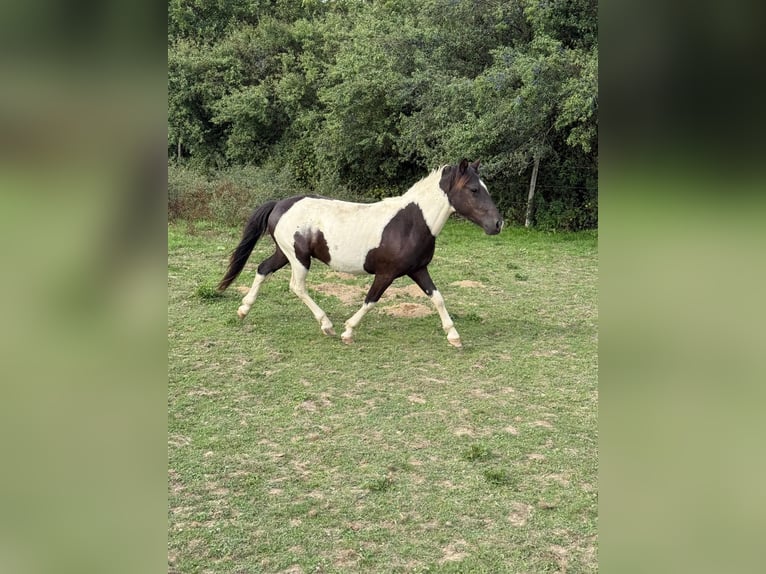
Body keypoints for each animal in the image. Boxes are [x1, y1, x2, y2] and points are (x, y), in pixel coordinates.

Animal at [217, 159, 503, 347]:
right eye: (474, 189)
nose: (498, 224)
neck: (412, 222)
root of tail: (280, 204)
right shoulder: (386, 274)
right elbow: (371, 299)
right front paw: (348, 331)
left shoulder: (419, 270)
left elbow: (438, 298)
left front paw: (454, 336)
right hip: (298, 258)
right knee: (297, 287)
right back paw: (327, 325)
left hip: (284, 254)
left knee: (263, 269)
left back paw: (243, 310)